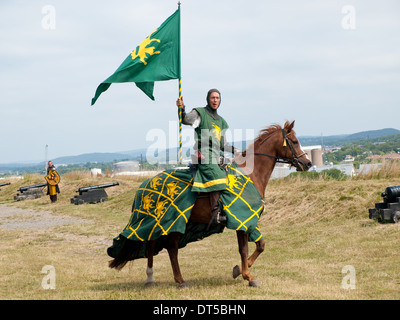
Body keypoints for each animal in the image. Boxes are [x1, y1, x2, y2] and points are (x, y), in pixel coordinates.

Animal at [108, 120, 312, 288]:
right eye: (294, 141)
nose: (308, 163)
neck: (251, 175)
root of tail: (144, 185)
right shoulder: (242, 221)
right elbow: (244, 249)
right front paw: (248, 276)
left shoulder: (250, 221)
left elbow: (260, 245)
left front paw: (239, 270)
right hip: (166, 220)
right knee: (156, 244)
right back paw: (161, 279)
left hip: (174, 223)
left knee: (166, 247)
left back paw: (168, 280)